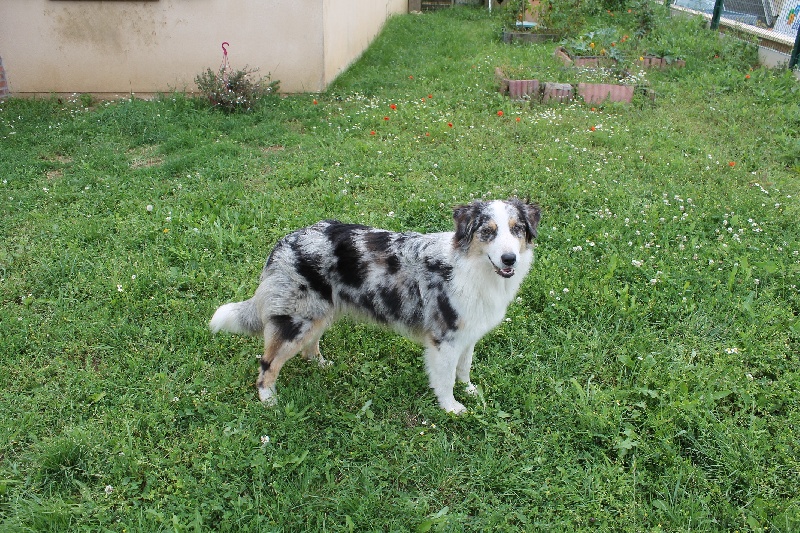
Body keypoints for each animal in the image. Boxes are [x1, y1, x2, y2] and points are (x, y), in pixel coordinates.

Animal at [209, 197, 540, 414]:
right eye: (488, 231)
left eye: (517, 229)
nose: (510, 259)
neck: (472, 268)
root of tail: (283, 243)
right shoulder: (443, 339)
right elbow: (445, 380)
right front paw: (452, 408)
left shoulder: (467, 333)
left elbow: (464, 368)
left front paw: (470, 390)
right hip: (296, 320)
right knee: (268, 361)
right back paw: (269, 399)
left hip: (320, 313)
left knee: (309, 347)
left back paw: (320, 364)